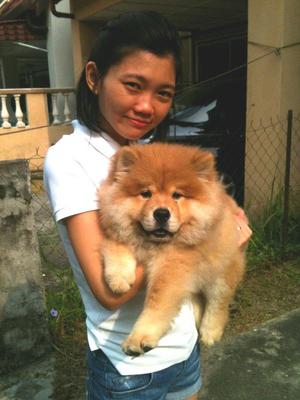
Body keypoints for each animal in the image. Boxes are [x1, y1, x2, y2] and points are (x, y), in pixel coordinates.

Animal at [98, 142, 246, 354]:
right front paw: (119, 279)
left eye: (177, 195)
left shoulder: (173, 267)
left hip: (221, 274)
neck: (153, 245)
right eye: (146, 194)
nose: (161, 213)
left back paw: (210, 332)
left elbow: (157, 302)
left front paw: (139, 337)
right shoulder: (117, 233)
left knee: (218, 304)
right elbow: (116, 248)